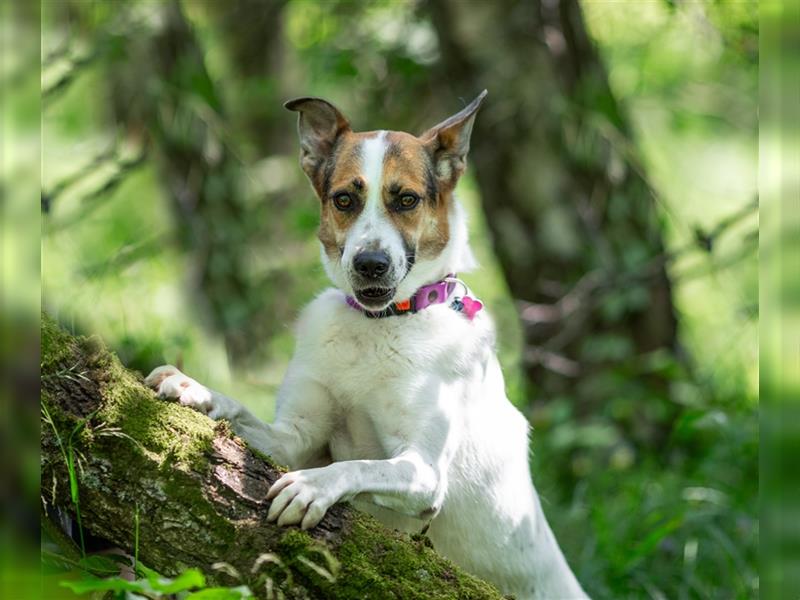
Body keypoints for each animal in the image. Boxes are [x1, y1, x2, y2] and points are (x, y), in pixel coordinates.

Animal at [147, 90, 588, 600]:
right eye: (344, 199)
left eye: (407, 199)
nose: (370, 264)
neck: (379, 326)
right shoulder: (295, 439)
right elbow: (248, 417)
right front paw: (192, 388)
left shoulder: (424, 472)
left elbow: (358, 465)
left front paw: (312, 486)